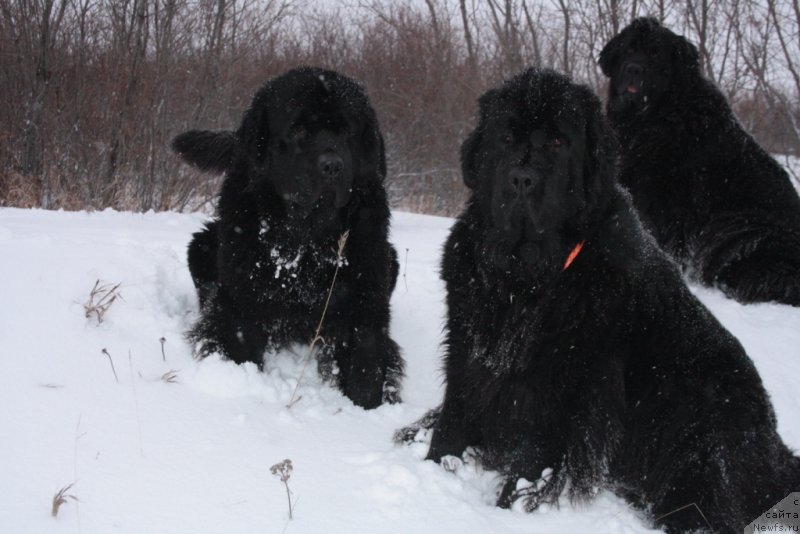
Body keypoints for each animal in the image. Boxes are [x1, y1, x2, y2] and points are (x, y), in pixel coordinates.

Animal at [173, 67, 404, 410]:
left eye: (348, 131)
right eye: (297, 131)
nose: (332, 166)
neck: (306, 240)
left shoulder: (366, 299)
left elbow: (367, 361)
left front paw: (365, 408)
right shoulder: (240, 300)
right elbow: (238, 343)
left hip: (391, 259)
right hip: (202, 248)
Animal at [400, 69, 800, 532]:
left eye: (559, 142)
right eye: (506, 136)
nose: (522, 178)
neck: (525, 278)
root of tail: (776, 450)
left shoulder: (563, 389)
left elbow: (531, 463)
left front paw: (509, 508)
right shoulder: (469, 353)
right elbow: (453, 420)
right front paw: (434, 466)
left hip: (701, 431)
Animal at [604, 17, 800, 310]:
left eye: (655, 55)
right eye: (629, 49)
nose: (633, 69)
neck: (654, 116)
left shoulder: (667, 199)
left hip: (740, 228)